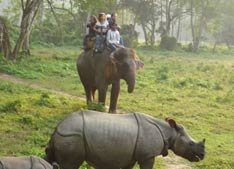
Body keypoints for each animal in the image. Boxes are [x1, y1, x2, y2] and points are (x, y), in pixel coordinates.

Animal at [45, 110, 205, 168]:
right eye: (191, 143)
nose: (203, 155)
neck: (169, 132)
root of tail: (57, 128)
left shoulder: (131, 155)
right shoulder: (147, 156)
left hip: (67, 136)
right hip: (72, 136)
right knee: (70, 164)